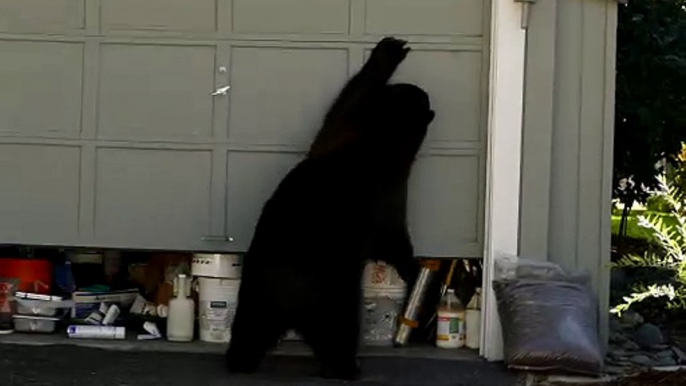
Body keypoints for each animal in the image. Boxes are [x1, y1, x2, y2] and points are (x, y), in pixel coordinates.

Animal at [227, 37, 436, 380]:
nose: (426, 93)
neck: (376, 142)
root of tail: (289, 301)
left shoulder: (337, 132)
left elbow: (346, 101)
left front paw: (390, 50)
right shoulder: (389, 192)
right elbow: (394, 240)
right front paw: (414, 269)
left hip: (254, 295)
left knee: (247, 332)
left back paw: (240, 360)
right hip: (335, 299)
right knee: (339, 336)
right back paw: (347, 368)